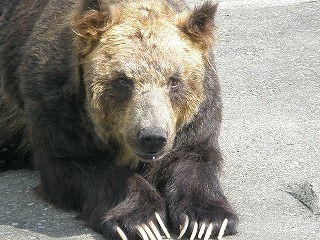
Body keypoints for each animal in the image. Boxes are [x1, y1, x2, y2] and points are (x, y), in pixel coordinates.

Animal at [0, 0, 238, 239]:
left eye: (174, 81)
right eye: (123, 80)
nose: (152, 137)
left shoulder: (197, 113)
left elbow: (192, 156)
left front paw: (206, 220)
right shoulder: (55, 103)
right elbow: (72, 161)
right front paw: (144, 220)